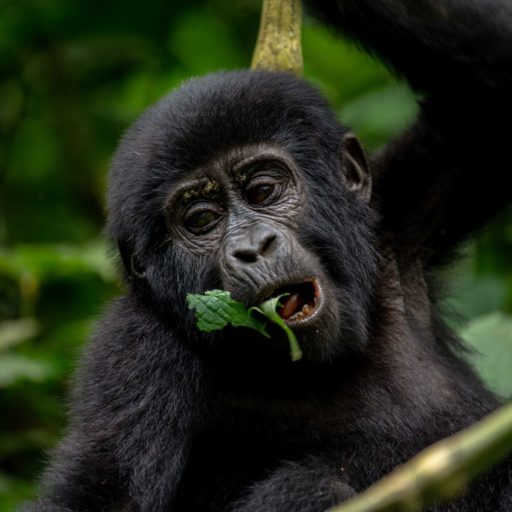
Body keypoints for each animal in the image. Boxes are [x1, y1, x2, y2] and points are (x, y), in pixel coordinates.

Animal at [21, 0, 512, 510]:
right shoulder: (133, 349)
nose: (253, 248)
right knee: (313, 485)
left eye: (262, 190)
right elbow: (100, 491)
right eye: (201, 220)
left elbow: (487, 92)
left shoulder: (399, 213)